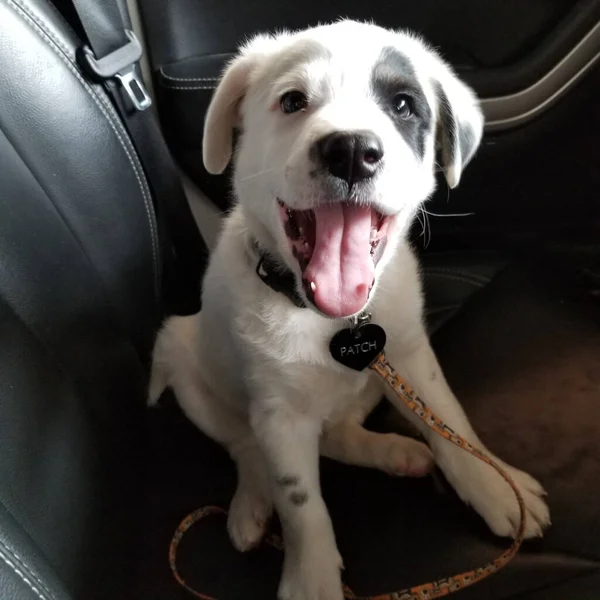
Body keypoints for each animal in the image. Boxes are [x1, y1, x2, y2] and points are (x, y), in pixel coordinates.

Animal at [152, 18, 552, 600]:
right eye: (293, 101)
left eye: (403, 105)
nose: (351, 151)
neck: (331, 319)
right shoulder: (277, 413)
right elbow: (301, 503)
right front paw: (311, 579)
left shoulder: (409, 355)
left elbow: (449, 420)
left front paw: (494, 486)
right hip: (181, 356)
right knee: (245, 446)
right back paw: (251, 505)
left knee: (337, 434)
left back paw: (396, 453)